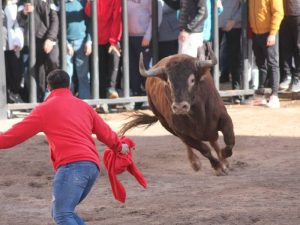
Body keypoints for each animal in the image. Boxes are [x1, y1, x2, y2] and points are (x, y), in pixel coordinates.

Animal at [119, 46, 234, 176]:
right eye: (169, 82)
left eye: (192, 80)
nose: (179, 107)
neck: (198, 114)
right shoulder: (182, 133)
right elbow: (204, 149)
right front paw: (217, 166)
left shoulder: (225, 118)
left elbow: (229, 140)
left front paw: (223, 157)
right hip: (166, 125)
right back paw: (196, 163)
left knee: (213, 140)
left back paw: (224, 162)